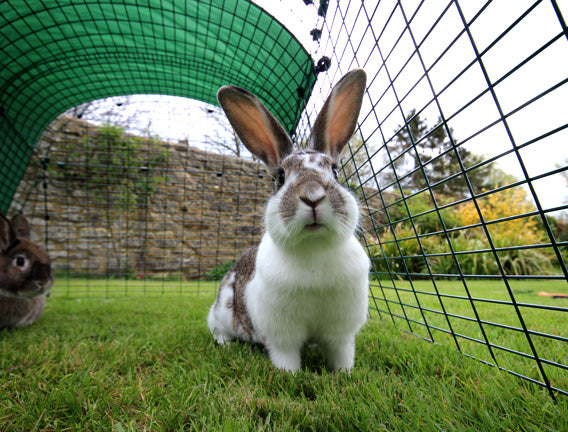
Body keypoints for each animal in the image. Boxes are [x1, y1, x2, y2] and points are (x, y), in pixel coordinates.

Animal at [206, 68, 370, 372]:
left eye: (335, 171)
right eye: (281, 177)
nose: (313, 196)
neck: (315, 251)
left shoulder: (341, 334)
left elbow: (342, 354)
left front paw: (344, 374)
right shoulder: (282, 335)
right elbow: (286, 357)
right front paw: (290, 375)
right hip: (220, 314)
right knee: (217, 329)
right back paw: (224, 342)